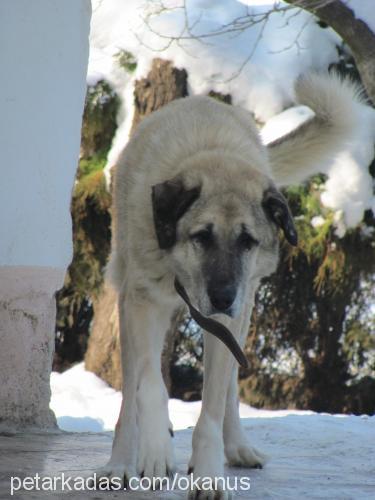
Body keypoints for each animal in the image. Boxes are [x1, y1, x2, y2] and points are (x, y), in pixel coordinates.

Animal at [98, 70, 362, 496]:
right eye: (202, 236)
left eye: (247, 241)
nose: (222, 297)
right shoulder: (142, 302)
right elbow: (149, 385)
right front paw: (155, 451)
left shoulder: (226, 321)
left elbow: (211, 409)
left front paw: (207, 473)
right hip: (127, 301)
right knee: (131, 391)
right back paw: (121, 461)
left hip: (244, 311)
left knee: (230, 391)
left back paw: (237, 446)